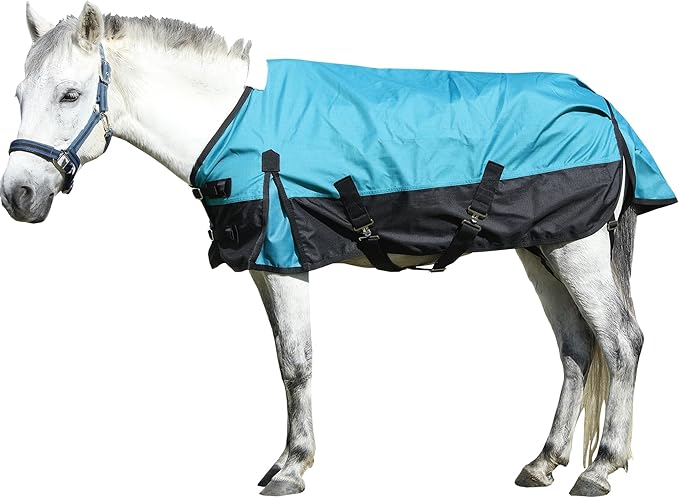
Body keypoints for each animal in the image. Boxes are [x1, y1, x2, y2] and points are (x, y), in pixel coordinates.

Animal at [1, 2, 675, 496]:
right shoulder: (268, 265)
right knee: (577, 347)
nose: (19, 195)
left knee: (621, 341)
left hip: (576, 248)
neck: (233, 122)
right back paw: (543, 462)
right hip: (542, 248)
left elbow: (295, 364)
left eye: (69, 95)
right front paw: (287, 461)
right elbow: (285, 361)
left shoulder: (284, 261)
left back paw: (600, 468)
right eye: (19, 96)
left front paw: (293, 467)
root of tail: (602, 105)